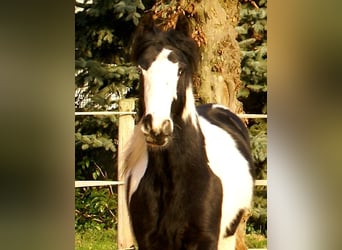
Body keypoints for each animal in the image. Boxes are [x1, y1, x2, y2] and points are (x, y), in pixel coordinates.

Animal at [122, 14, 254, 249]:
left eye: (180, 70)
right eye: (141, 69)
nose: (157, 127)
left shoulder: (205, 240)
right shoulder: (148, 242)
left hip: (228, 236)